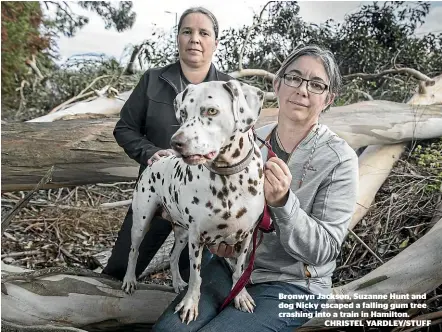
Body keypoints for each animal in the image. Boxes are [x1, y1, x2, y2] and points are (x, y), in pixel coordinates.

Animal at [121, 80, 266, 324]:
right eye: (183, 113)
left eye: (212, 111)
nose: (176, 143)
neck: (228, 179)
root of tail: (157, 160)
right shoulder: (197, 239)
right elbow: (197, 276)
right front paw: (190, 304)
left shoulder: (246, 237)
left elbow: (239, 271)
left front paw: (240, 295)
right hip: (142, 222)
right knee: (133, 251)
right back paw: (129, 280)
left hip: (182, 233)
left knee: (172, 256)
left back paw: (178, 282)